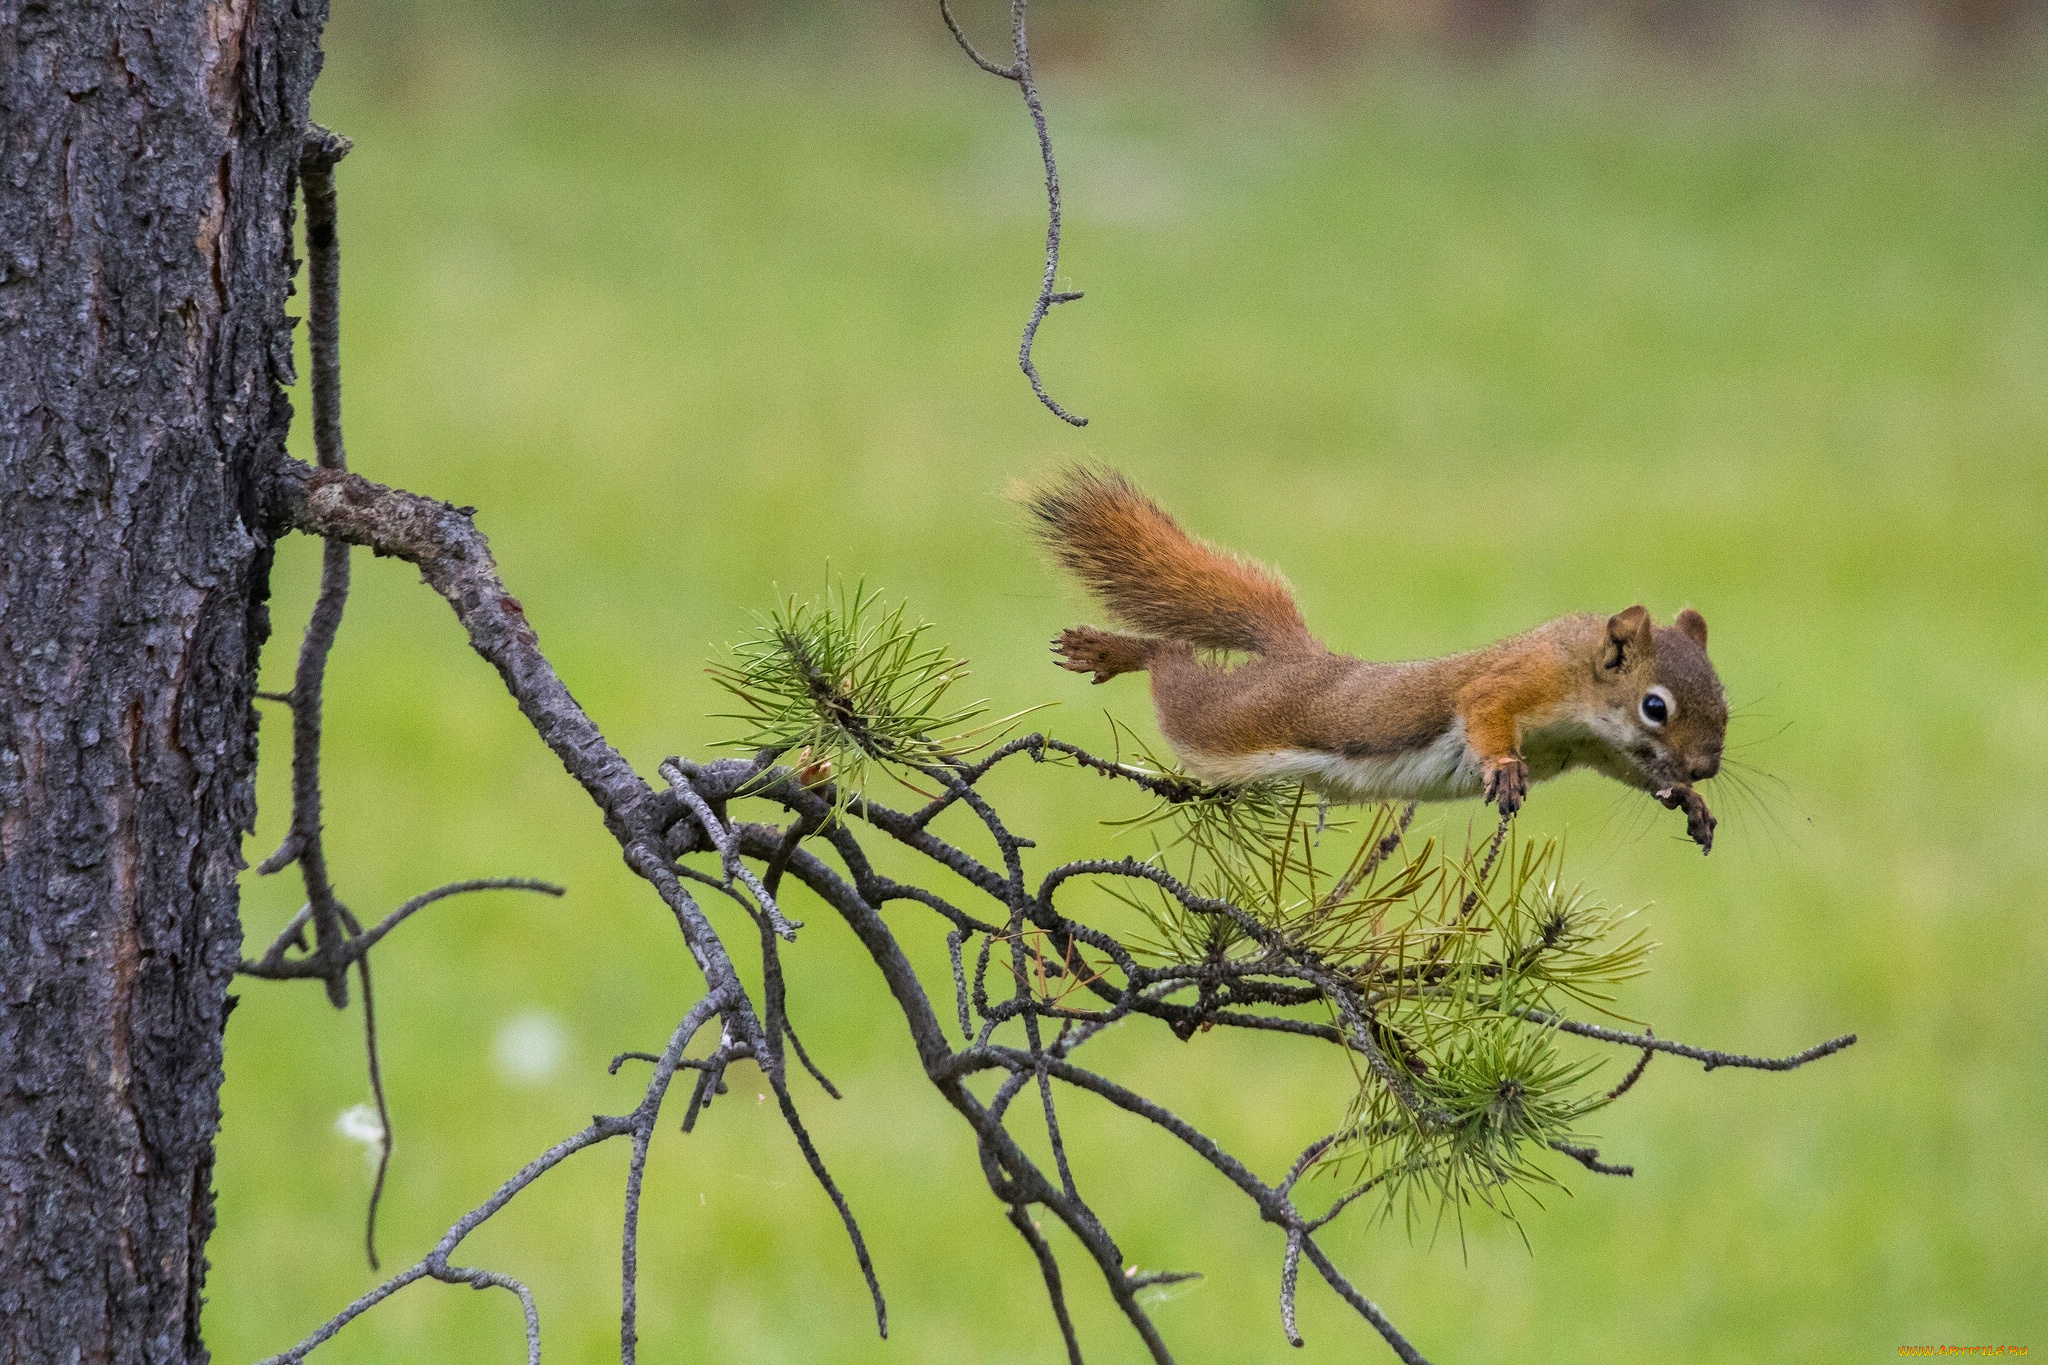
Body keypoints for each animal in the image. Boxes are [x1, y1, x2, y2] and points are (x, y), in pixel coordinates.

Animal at [1024, 470, 1728, 855]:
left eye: (1724, 700)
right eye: (1655, 706)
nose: (1705, 767)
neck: (1582, 681)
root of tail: (1302, 657)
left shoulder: (1599, 749)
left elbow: (1632, 772)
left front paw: (1690, 801)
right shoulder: (1519, 682)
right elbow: (1485, 711)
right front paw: (1504, 768)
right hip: (1226, 723)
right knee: (1173, 667)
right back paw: (1112, 649)